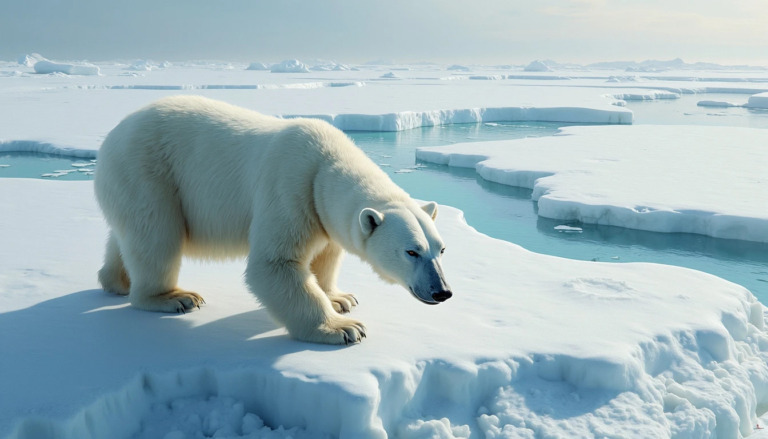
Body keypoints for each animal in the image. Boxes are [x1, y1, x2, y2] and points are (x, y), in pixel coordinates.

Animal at [91, 97, 450, 348]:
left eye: (441, 249)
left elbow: (326, 255)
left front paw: (340, 298)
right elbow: (275, 263)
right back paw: (174, 297)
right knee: (157, 235)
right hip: (149, 172)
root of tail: (110, 139)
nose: (442, 291)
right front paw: (344, 328)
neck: (324, 164)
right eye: (411, 252)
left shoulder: (319, 214)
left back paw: (116, 280)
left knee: (128, 234)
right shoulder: (289, 188)